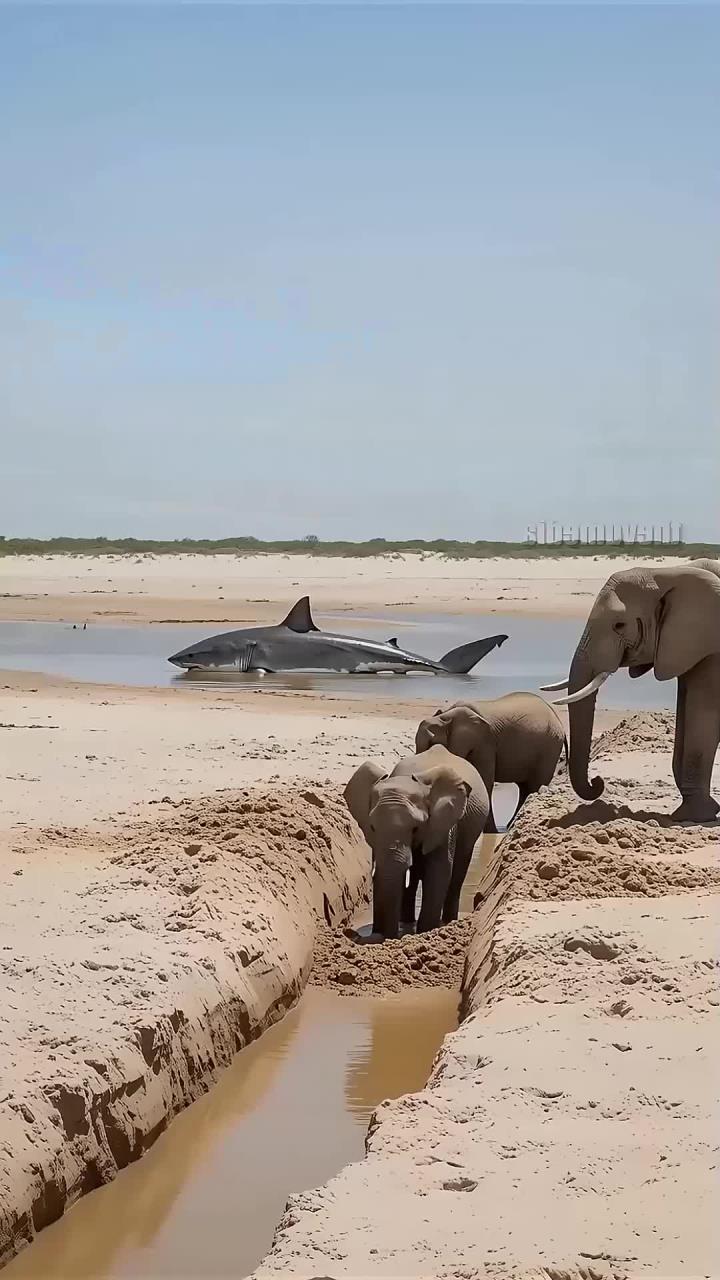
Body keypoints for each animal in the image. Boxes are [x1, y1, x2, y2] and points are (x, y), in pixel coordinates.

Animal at [343, 744, 489, 940]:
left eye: (415, 828)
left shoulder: (443, 822)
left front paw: (425, 931)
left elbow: (439, 870)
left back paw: (447, 921)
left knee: (458, 871)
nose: (378, 934)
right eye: (372, 827)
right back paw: (406, 923)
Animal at [415, 693, 566, 831]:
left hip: (549, 748)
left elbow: (485, 781)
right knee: (525, 788)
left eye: (432, 743)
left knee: (534, 785)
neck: (446, 717)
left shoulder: (485, 742)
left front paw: (489, 832)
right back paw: (510, 826)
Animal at [545, 558, 720, 823]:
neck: (671, 573)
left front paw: (696, 816)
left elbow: (703, 712)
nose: (598, 782)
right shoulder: (683, 645)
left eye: (619, 625)